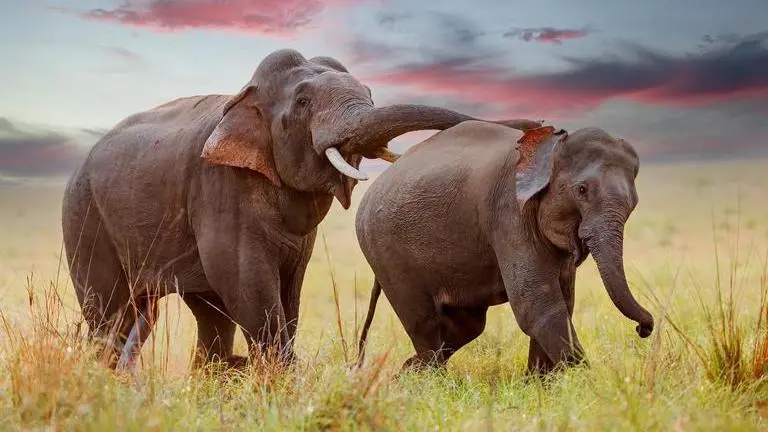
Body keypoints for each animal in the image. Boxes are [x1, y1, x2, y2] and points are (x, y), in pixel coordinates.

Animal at [62, 48, 541, 372]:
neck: (244, 97)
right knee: (112, 314)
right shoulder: (219, 186)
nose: (536, 126)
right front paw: (283, 381)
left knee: (199, 316)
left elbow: (286, 285)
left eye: (370, 94)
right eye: (304, 104)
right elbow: (247, 282)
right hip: (84, 216)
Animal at [355, 120, 655, 374]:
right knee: (424, 323)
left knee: (467, 325)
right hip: (383, 249)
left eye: (634, 204)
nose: (644, 328)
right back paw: (429, 378)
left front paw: (539, 386)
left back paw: (407, 373)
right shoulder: (509, 213)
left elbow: (563, 301)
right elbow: (537, 305)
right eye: (581, 190)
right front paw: (587, 383)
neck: (550, 147)